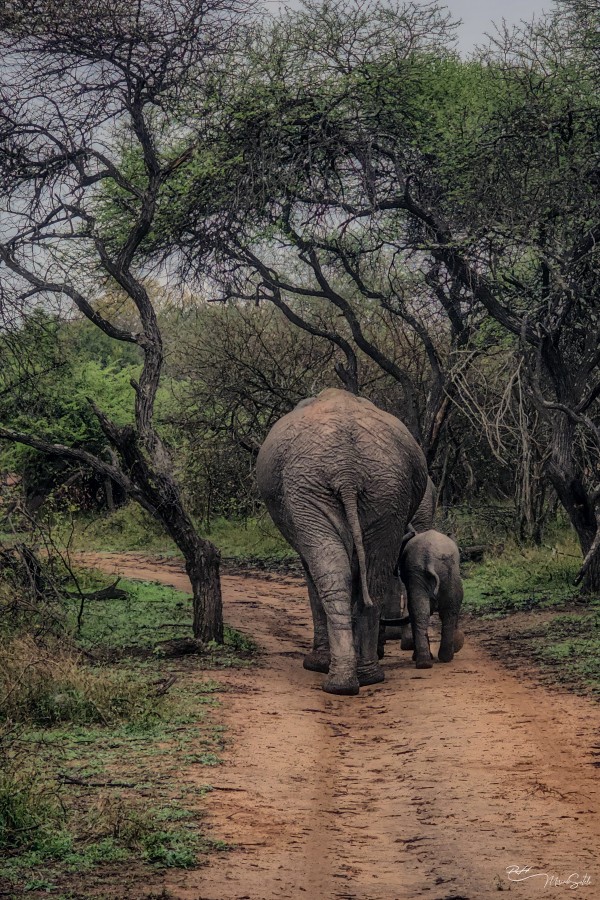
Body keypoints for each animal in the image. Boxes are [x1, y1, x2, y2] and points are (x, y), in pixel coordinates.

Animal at [255, 388, 428, 696]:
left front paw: (317, 664)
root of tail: (347, 471)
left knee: (331, 573)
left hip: (312, 488)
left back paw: (333, 676)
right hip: (382, 490)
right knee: (371, 575)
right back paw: (360, 678)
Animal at [400, 528, 466, 668]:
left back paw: (426, 662)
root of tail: (429, 557)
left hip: (427, 571)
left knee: (422, 612)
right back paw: (441, 658)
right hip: (446, 571)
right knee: (448, 611)